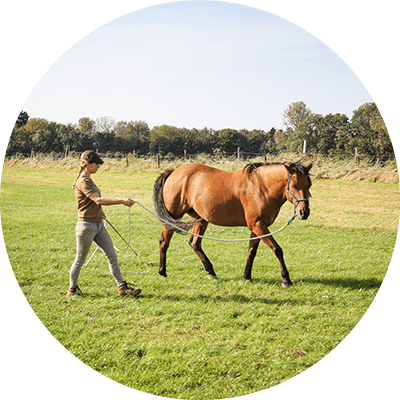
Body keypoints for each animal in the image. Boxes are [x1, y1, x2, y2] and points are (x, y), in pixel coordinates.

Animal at [153, 161, 312, 286]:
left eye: (309, 185)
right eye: (294, 185)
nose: (304, 212)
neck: (261, 187)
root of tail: (173, 172)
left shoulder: (257, 226)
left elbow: (251, 251)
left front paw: (247, 276)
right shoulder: (258, 225)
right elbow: (277, 249)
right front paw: (286, 279)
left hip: (200, 220)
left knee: (194, 243)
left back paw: (210, 271)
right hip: (174, 217)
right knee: (164, 241)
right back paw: (162, 271)